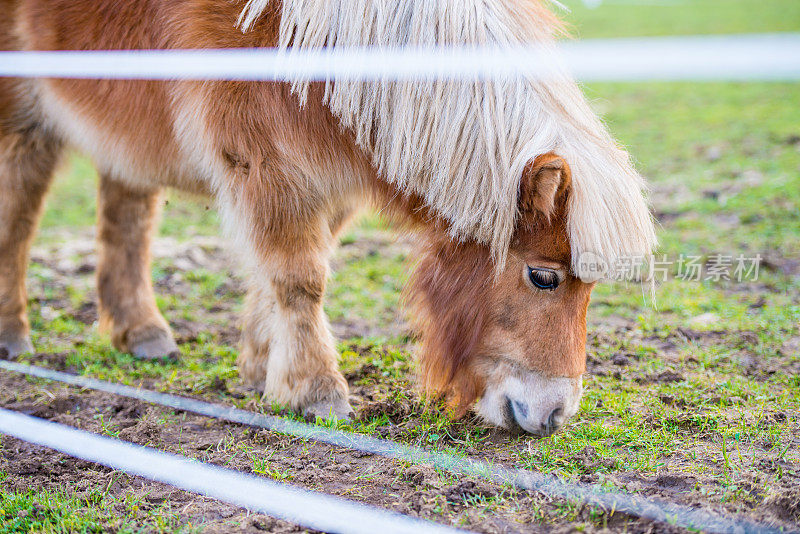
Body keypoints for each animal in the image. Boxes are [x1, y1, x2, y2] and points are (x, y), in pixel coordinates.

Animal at [1, 0, 656, 436]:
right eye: (543, 276)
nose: (556, 415)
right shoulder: (267, 166)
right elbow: (299, 278)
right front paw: (316, 393)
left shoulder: (332, 180)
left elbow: (285, 274)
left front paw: (262, 367)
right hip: (21, 118)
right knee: (19, 213)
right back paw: (13, 334)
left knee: (126, 217)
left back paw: (142, 334)